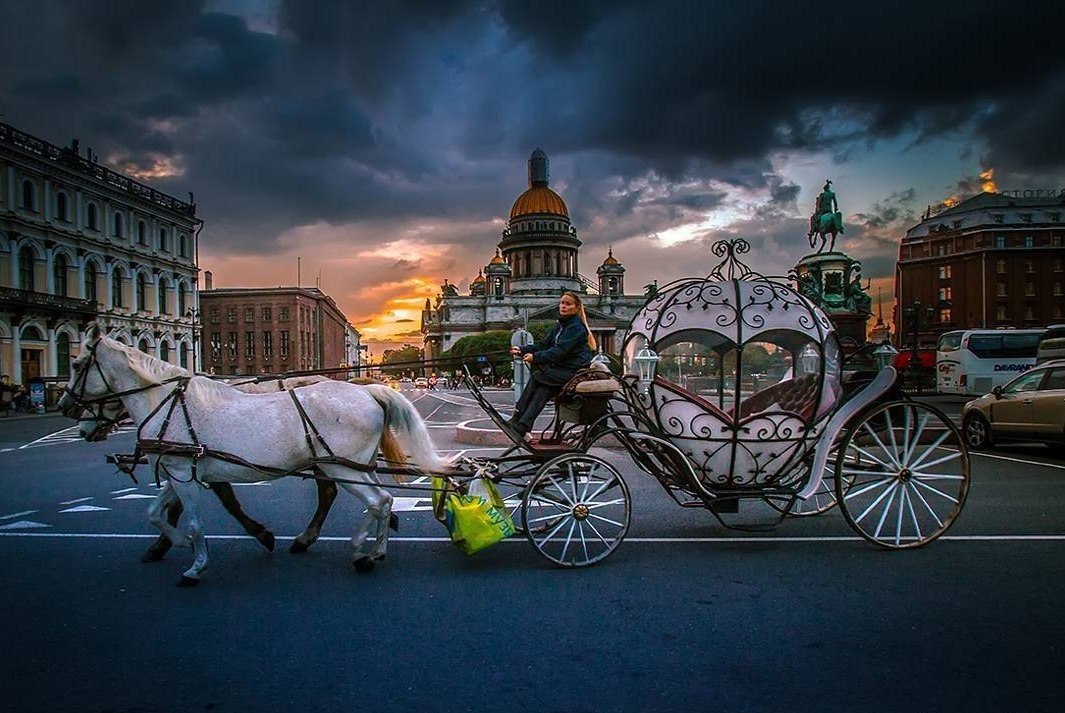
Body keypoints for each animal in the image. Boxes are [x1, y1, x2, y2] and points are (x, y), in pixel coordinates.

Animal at [58, 326, 449, 588]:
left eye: (77, 365)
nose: (65, 409)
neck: (171, 402)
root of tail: (368, 391)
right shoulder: (182, 470)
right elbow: (154, 512)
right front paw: (177, 543)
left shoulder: (184, 473)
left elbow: (195, 522)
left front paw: (195, 564)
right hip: (349, 466)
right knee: (379, 501)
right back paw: (370, 550)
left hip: (339, 466)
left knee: (376, 500)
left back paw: (359, 550)